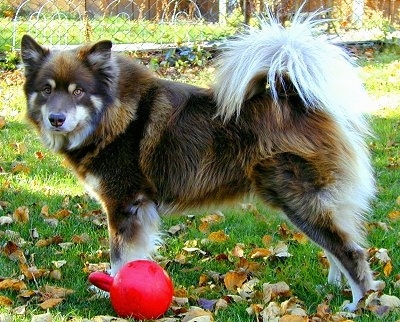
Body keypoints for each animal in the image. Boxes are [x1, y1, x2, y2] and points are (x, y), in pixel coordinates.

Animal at [21, 11, 384, 310]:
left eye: (78, 91)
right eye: (47, 90)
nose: (56, 119)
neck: (113, 115)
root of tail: (294, 96)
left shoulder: (126, 205)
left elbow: (121, 257)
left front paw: (113, 289)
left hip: (299, 198)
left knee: (351, 251)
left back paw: (360, 303)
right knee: (337, 246)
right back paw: (333, 289)